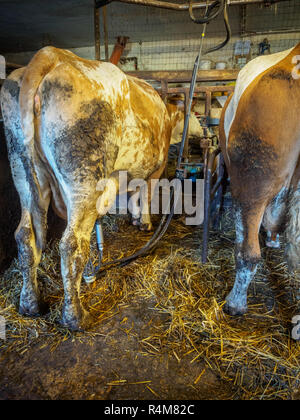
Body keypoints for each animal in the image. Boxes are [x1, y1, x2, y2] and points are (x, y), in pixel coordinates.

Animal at [0, 45, 171, 328]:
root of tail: (51, 54)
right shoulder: (156, 168)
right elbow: (145, 194)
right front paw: (144, 223)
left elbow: (135, 192)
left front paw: (136, 219)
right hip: (85, 176)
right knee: (71, 244)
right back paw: (75, 317)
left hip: (22, 169)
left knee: (25, 235)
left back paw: (30, 303)